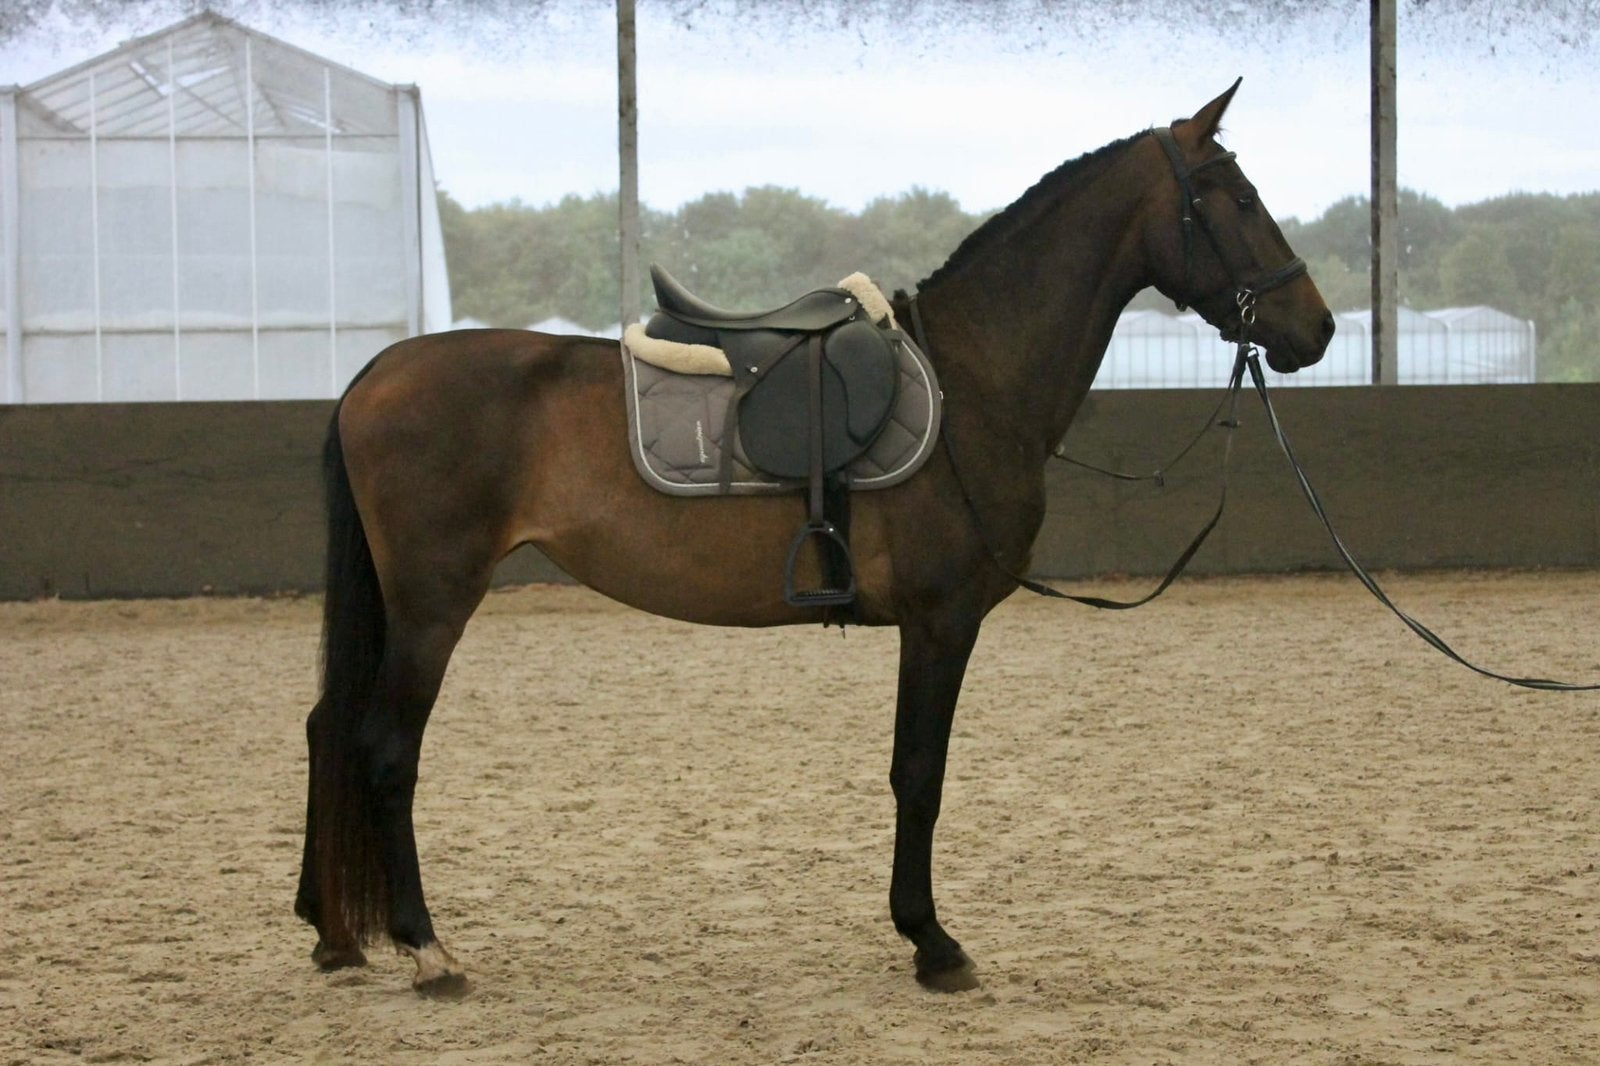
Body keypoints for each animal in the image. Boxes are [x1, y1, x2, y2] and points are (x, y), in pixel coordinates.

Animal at [294, 80, 1335, 995]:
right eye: (1238, 199)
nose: (1316, 328)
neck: (974, 381)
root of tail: (375, 374)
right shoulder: (942, 621)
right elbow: (920, 774)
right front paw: (932, 942)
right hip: (433, 604)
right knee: (385, 748)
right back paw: (427, 950)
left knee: (328, 727)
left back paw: (330, 932)